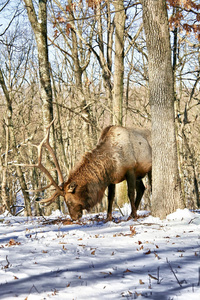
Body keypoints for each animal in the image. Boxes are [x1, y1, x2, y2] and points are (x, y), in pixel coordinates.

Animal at [21, 119, 151, 220]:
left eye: (68, 201)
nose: (74, 218)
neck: (112, 161)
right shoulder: (111, 179)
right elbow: (110, 197)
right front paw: (108, 218)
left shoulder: (130, 169)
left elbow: (130, 193)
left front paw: (134, 216)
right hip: (140, 175)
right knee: (142, 189)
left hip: (148, 168)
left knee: (148, 186)